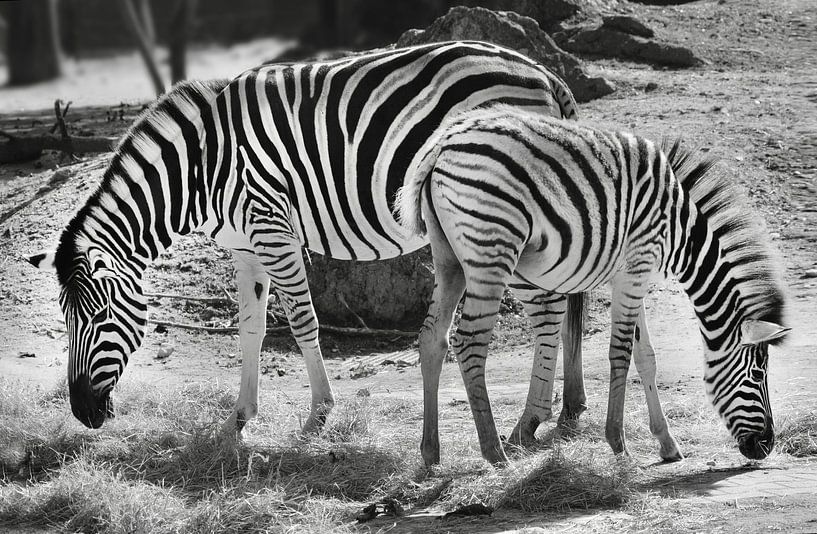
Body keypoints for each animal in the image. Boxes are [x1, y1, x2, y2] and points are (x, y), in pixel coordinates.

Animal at [26, 41, 587, 455]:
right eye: (66, 320)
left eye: (99, 318)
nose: (83, 414)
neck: (201, 168)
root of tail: (543, 73)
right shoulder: (245, 247)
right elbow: (250, 328)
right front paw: (239, 419)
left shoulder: (272, 229)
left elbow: (301, 320)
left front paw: (319, 414)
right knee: (561, 299)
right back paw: (562, 412)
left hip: (499, 211)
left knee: (548, 309)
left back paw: (528, 422)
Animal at [395, 105, 789, 464]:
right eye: (759, 373)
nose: (767, 446)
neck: (682, 234)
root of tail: (442, 143)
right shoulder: (637, 264)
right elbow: (622, 353)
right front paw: (618, 443)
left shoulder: (632, 273)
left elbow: (646, 357)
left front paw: (667, 443)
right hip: (492, 250)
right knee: (470, 342)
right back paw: (495, 453)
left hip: (449, 258)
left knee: (433, 338)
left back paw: (430, 452)